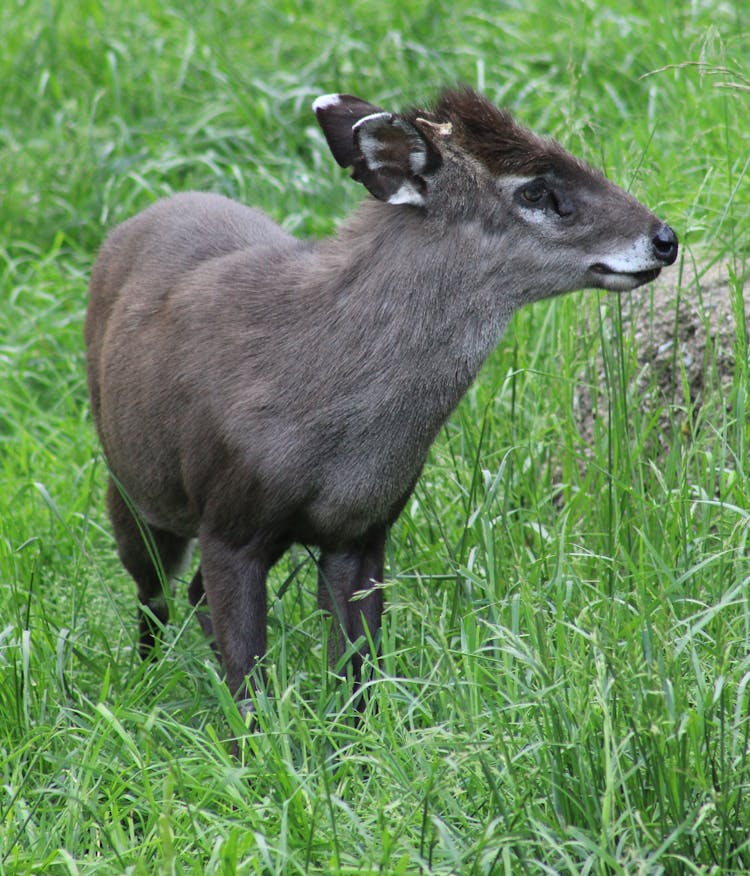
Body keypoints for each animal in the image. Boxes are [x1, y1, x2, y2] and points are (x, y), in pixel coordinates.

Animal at [85, 85, 680, 716]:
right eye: (536, 190)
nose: (665, 239)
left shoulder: (366, 528)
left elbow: (360, 671)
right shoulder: (229, 524)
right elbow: (250, 688)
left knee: (190, 593)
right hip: (131, 480)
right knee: (153, 591)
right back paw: (147, 676)